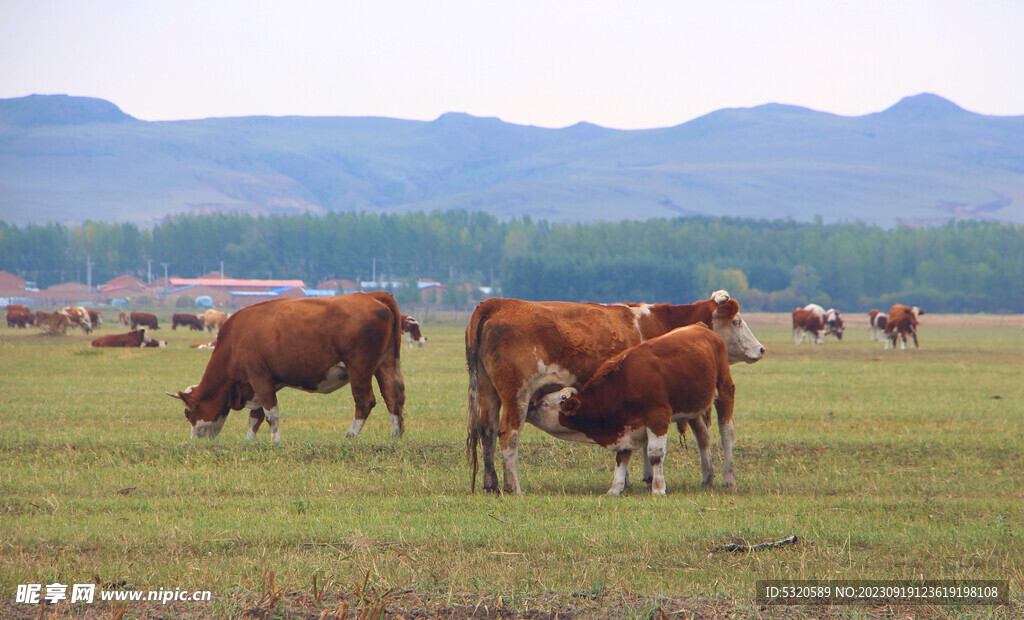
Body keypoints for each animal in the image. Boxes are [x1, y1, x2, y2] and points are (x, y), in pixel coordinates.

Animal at [167, 293, 403, 442]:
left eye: (189, 413)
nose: (194, 441)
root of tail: (373, 295)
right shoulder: (258, 384)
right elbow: (255, 416)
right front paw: (249, 440)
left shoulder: (259, 377)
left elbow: (271, 414)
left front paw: (275, 441)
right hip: (386, 364)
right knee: (393, 397)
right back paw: (396, 436)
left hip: (359, 369)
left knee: (365, 401)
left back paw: (350, 436)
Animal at [528, 321, 737, 496]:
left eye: (545, 403)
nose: (529, 409)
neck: (624, 383)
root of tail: (701, 327)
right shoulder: (626, 426)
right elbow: (622, 457)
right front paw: (615, 489)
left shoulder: (658, 416)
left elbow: (655, 454)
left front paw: (658, 489)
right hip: (693, 407)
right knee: (703, 437)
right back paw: (707, 477)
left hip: (725, 390)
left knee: (726, 434)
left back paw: (729, 478)